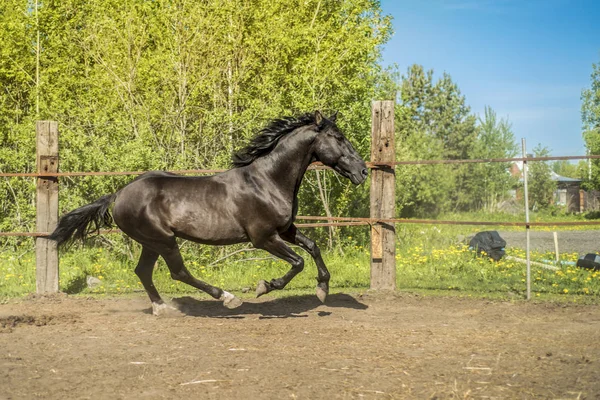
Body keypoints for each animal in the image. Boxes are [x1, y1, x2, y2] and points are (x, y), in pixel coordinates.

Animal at [48, 110, 366, 316]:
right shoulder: (263, 237)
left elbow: (313, 247)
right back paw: (227, 298)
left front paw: (322, 288)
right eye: (338, 137)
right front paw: (265, 287)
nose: (362, 171)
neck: (267, 181)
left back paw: (161, 308)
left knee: (143, 271)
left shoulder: (286, 230)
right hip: (164, 240)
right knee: (178, 272)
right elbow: (298, 261)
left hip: (151, 242)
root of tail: (118, 194)